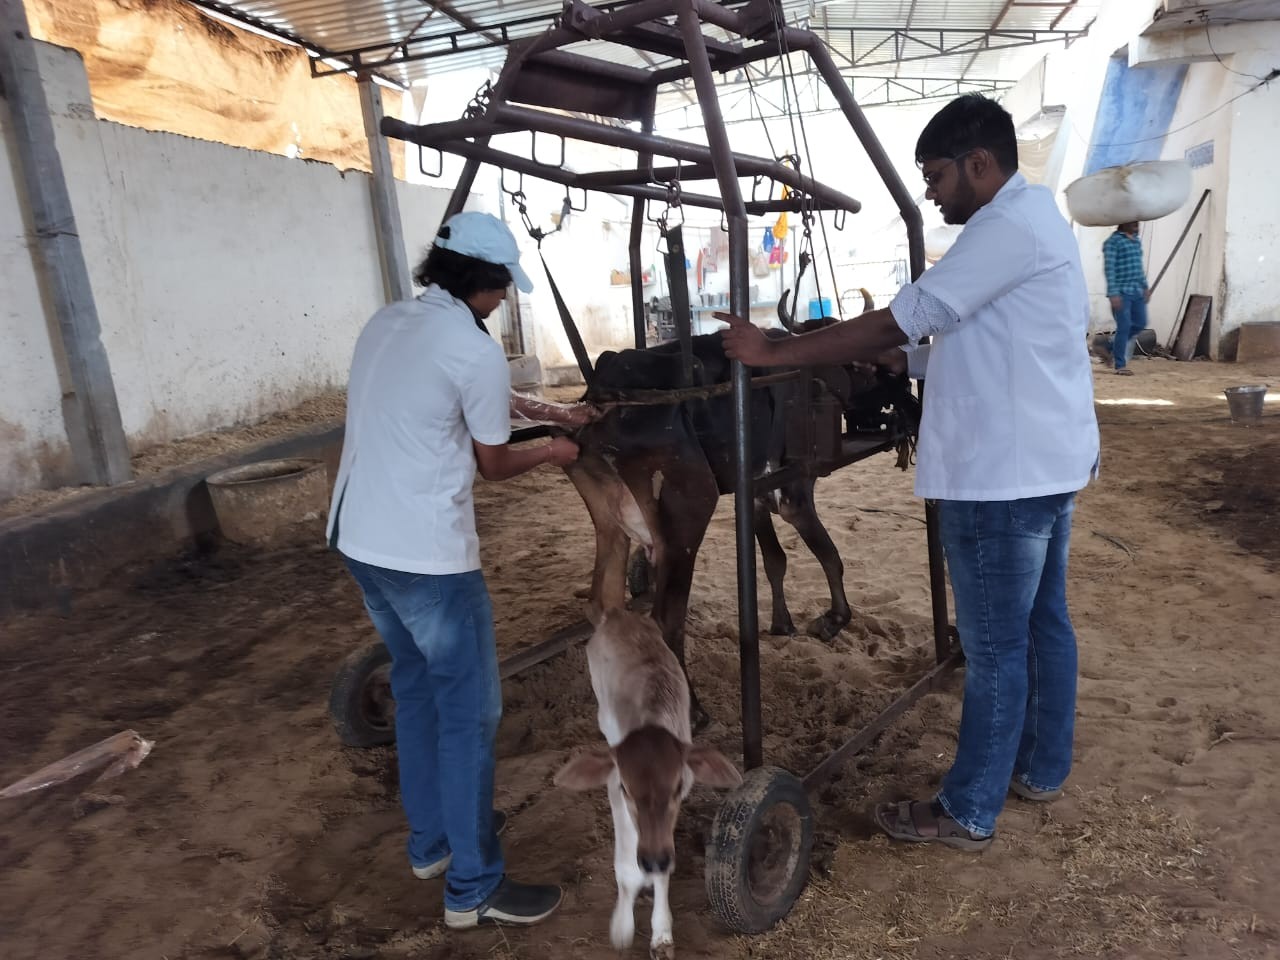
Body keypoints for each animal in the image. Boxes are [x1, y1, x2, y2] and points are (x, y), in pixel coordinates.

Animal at [550, 611, 742, 957]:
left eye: (678, 787)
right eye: (626, 789)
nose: (653, 860)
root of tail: (617, 614)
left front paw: (662, 934)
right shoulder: (615, 791)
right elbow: (626, 864)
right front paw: (622, 927)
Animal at [565, 317, 916, 727]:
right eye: (880, 371)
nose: (911, 403)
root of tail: (603, 401)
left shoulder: (755, 492)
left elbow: (775, 561)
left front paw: (782, 624)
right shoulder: (795, 493)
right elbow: (830, 556)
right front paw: (834, 619)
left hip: (610, 523)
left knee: (602, 605)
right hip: (689, 512)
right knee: (666, 617)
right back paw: (694, 711)